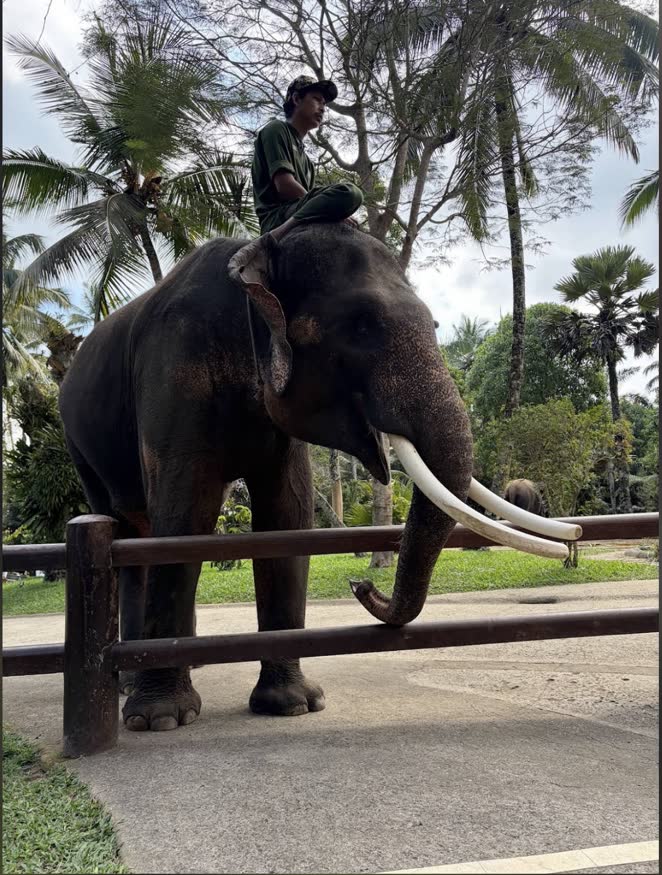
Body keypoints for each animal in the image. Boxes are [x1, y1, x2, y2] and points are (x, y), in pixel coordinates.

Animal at [59, 224, 567, 732]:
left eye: (437, 325)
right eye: (361, 326)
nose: (361, 587)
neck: (256, 260)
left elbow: (287, 517)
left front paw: (293, 704)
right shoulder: (175, 374)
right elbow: (185, 516)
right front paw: (162, 719)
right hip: (80, 448)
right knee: (125, 531)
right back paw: (131, 685)